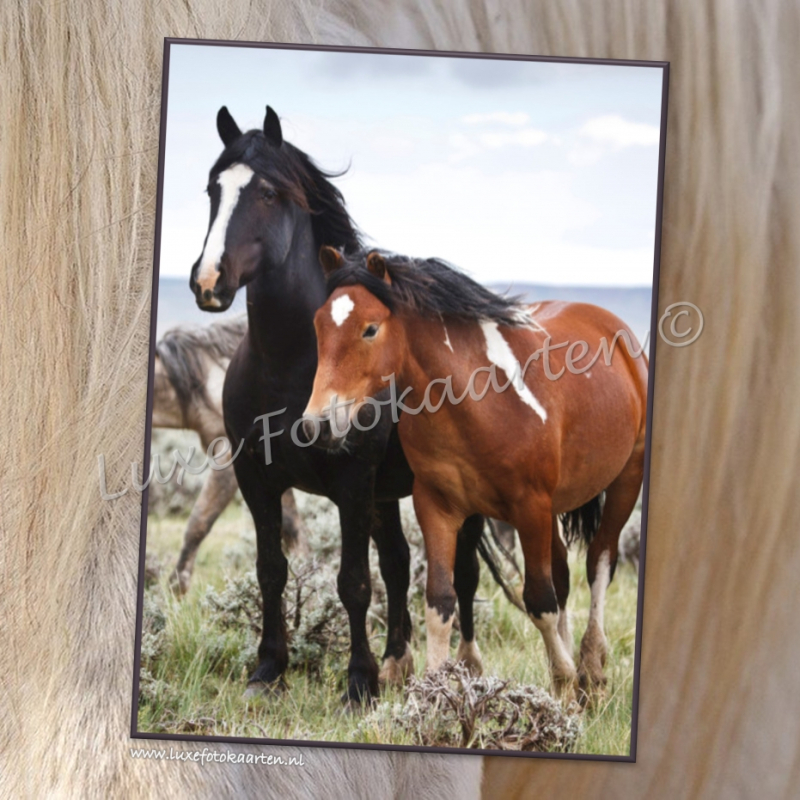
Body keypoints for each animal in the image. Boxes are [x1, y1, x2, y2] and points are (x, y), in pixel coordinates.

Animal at [187, 106, 500, 702]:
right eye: (213, 188)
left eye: (267, 192)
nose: (209, 281)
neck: (291, 367)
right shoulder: (256, 479)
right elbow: (271, 570)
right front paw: (268, 670)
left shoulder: (353, 482)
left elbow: (354, 582)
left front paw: (358, 683)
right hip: (387, 495)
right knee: (399, 563)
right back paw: (397, 663)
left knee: (462, 572)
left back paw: (464, 668)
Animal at [304, 248, 648, 702]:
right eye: (318, 325)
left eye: (370, 329)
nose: (318, 425)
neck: (477, 400)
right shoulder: (438, 507)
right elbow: (440, 602)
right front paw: (431, 693)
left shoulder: (530, 507)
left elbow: (538, 600)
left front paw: (564, 684)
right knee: (563, 575)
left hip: (626, 482)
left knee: (599, 564)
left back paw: (591, 668)